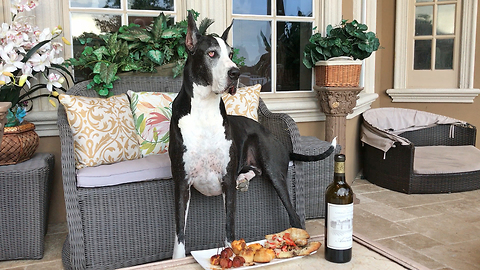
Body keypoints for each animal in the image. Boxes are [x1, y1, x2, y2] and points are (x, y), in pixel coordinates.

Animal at [169, 11, 334, 258]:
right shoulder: (182, 184)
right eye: (211, 53)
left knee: (294, 215)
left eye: (230, 54)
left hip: (274, 170)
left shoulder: (226, 181)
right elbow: (179, 236)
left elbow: (229, 229)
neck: (204, 110)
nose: (235, 73)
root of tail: (281, 143)